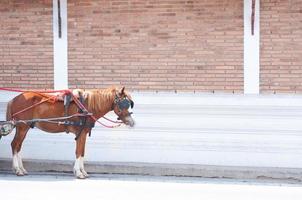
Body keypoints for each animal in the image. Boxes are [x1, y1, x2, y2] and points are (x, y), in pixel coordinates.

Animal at [4, 86, 134, 178]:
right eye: (123, 103)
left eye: (129, 104)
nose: (131, 122)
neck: (86, 106)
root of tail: (14, 99)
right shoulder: (80, 133)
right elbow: (78, 152)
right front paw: (78, 173)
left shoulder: (83, 133)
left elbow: (82, 152)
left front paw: (83, 171)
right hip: (22, 127)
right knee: (15, 145)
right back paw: (18, 170)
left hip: (24, 128)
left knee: (18, 146)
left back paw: (21, 169)